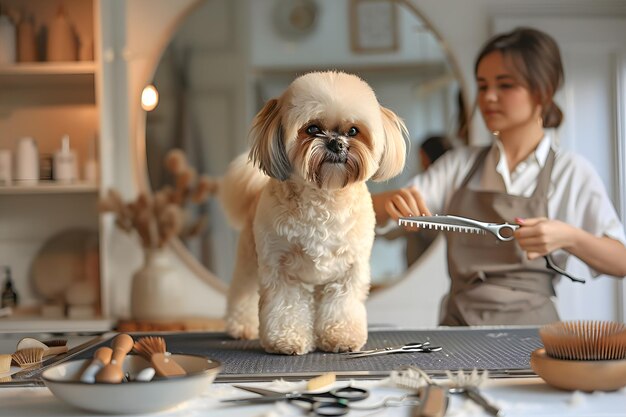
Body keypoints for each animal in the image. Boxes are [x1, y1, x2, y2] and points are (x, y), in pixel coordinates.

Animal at [218, 71, 404, 354]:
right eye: (313, 129)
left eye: (353, 131)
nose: (336, 143)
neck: (324, 198)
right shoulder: (280, 268)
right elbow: (285, 306)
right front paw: (286, 339)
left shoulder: (349, 270)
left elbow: (342, 306)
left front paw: (341, 337)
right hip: (250, 258)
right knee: (243, 292)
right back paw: (241, 326)